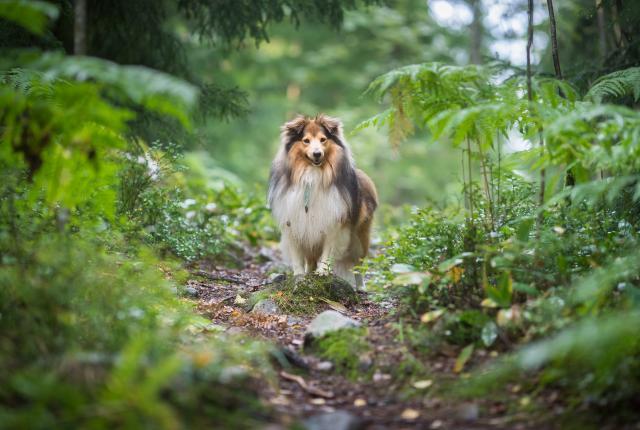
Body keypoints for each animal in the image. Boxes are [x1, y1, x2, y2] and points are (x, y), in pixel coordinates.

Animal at [268, 113, 378, 288]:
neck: (311, 175)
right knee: (311, 259)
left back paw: (360, 286)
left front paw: (322, 272)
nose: (317, 154)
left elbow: (328, 251)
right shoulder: (293, 224)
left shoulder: (334, 223)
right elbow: (297, 256)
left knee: (358, 265)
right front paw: (299, 276)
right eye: (306, 140)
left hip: (360, 238)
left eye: (323, 139)